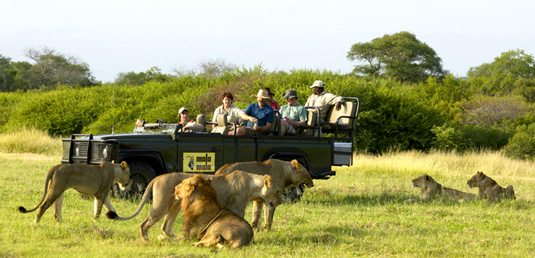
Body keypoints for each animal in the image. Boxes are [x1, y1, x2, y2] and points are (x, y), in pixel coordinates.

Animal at [107, 169, 282, 242]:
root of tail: (158, 176)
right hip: (161, 205)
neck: (252, 185)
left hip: (175, 206)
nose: (280, 202)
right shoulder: (236, 208)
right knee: (144, 224)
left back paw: (172, 237)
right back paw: (146, 240)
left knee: (166, 226)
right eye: (278, 191)